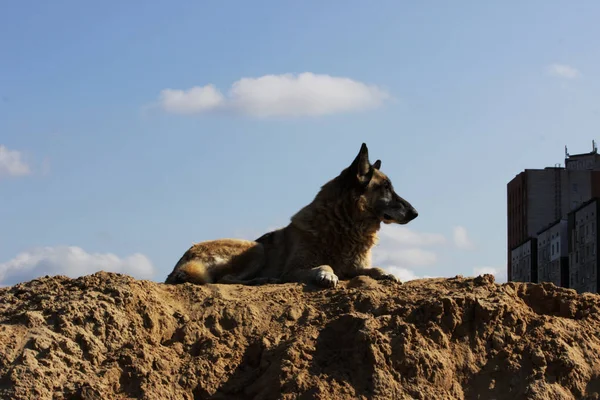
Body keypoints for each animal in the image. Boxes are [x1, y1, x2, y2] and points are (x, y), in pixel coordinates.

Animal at [164, 144, 418, 288]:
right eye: (386, 188)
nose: (416, 213)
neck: (342, 226)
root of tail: (182, 260)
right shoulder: (294, 270)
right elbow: (325, 264)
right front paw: (326, 275)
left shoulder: (354, 268)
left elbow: (373, 270)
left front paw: (388, 274)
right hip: (257, 249)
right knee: (225, 280)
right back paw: (263, 280)